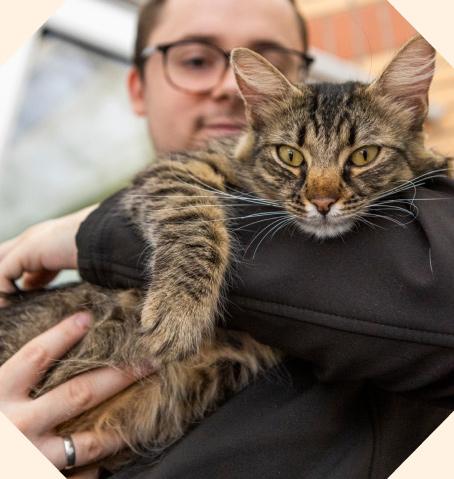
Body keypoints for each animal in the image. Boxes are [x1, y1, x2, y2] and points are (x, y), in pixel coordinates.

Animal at [0, 33, 450, 472]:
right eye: (290, 156)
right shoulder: (175, 174)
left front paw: (438, 161)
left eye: (363, 156)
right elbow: (195, 224)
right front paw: (178, 314)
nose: (322, 202)